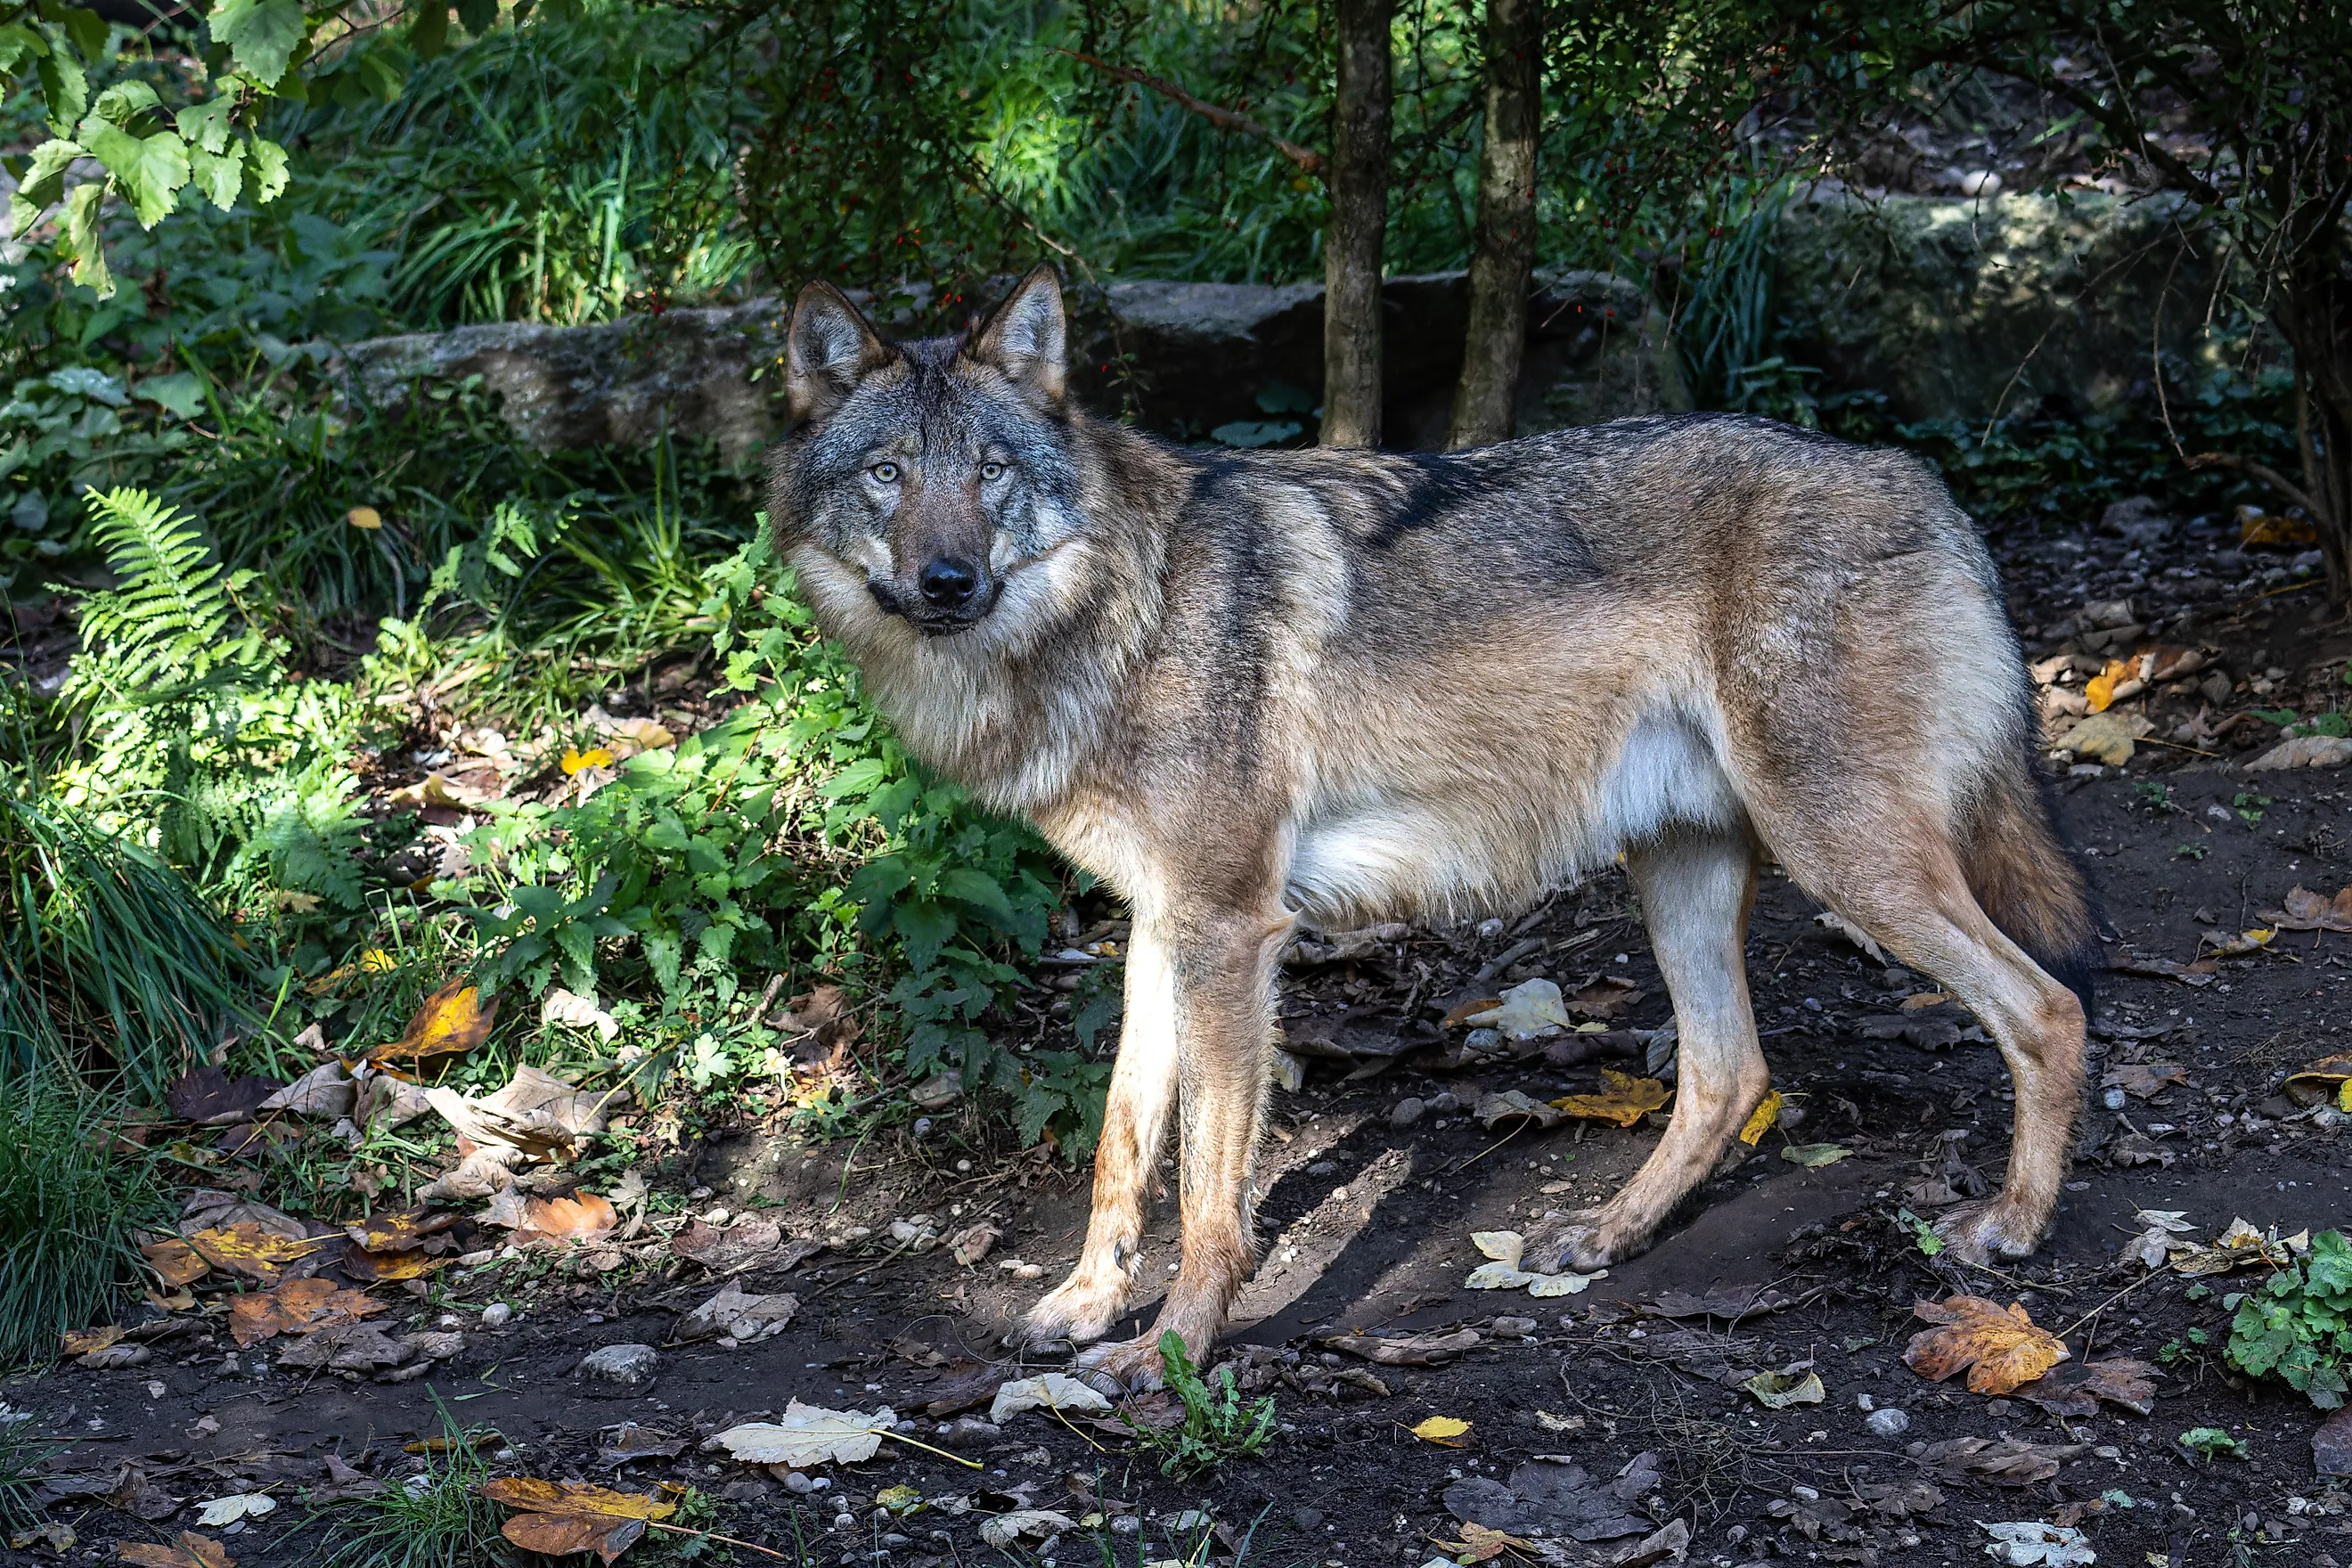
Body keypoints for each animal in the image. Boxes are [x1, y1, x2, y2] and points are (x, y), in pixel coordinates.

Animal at [763, 265, 2099, 1390]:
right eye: (889, 474)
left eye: (990, 471)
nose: (945, 582)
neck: (1119, 614)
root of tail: (1920, 480)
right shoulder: (1162, 925)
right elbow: (1122, 1138)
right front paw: (1086, 1303)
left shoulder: (1233, 932)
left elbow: (1207, 1193)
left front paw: (1171, 1354)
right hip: (1682, 871)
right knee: (1731, 1074)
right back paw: (1599, 1236)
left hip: (1848, 862)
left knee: (2048, 1009)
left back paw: (2014, 1228)